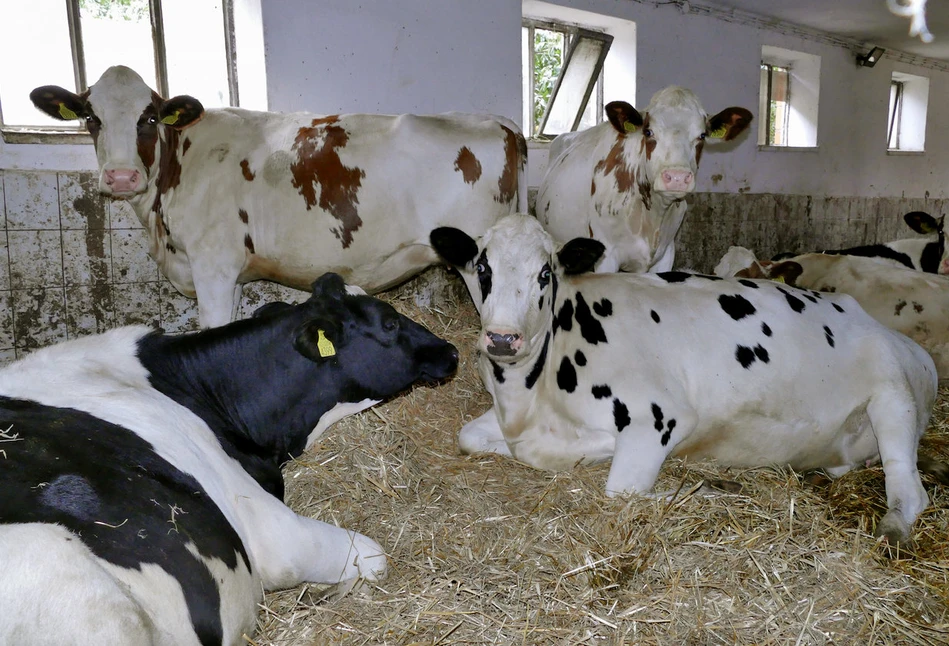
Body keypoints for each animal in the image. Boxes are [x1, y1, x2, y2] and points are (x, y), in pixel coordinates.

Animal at [33, 66, 524, 330]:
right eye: (91, 118)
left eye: (149, 117)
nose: (120, 177)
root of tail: (497, 121)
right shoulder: (230, 275)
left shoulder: (212, 264)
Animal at [536, 88, 752, 274]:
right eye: (648, 132)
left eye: (702, 135)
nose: (677, 177)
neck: (652, 216)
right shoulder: (606, 257)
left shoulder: (666, 253)